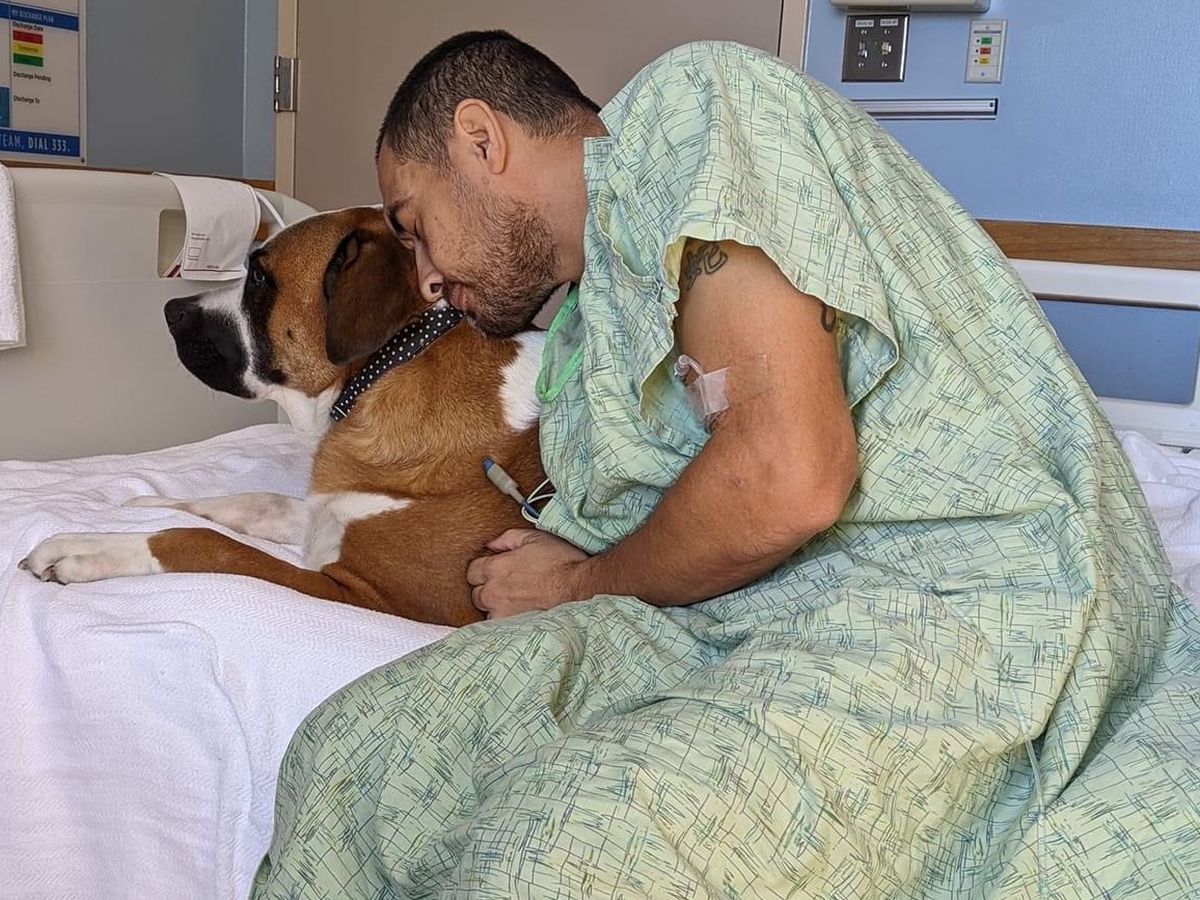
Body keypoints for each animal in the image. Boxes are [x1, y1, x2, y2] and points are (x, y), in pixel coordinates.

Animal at [19, 207, 547, 627]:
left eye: (258, 278)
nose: (171, 308)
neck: (384, 370)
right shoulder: (320, 516)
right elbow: (251, 501)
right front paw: (136, 510)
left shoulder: (365, 596)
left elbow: (208, 542)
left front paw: (89, 553)